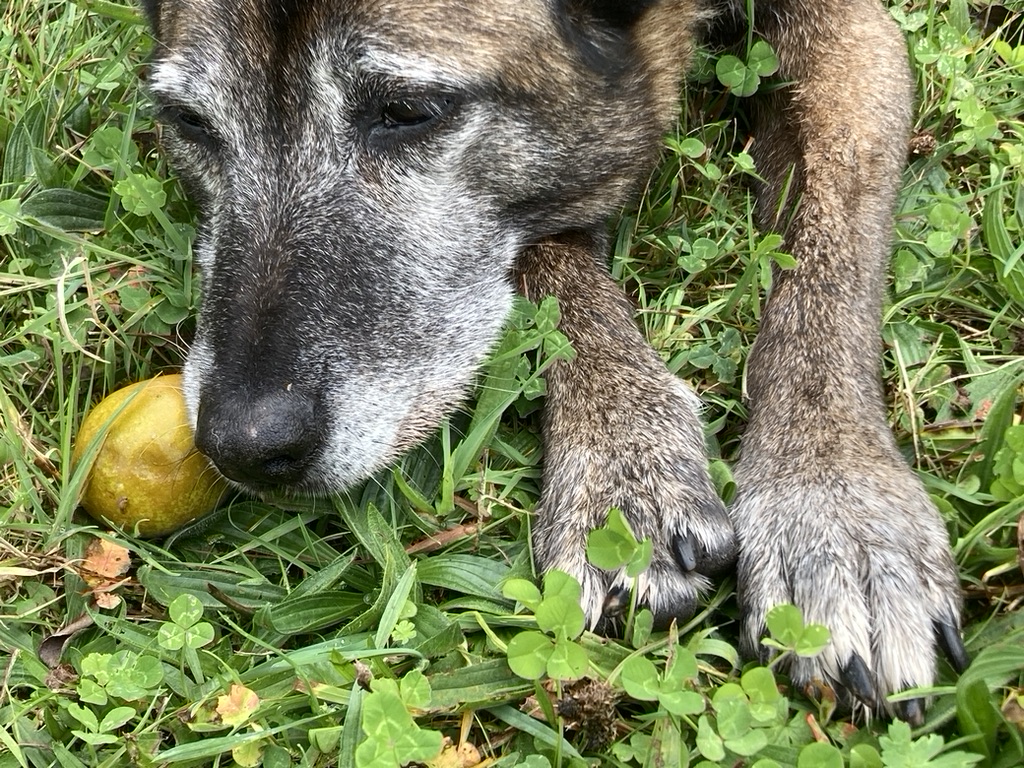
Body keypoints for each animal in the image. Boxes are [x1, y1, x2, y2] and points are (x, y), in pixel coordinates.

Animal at [138, 0, 966, 724]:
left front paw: (836, 505)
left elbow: (829, 257)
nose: (242, 444)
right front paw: (620, 464)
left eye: (408, 111)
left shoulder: (854, 33)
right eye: (189, 123)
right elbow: (554, 262)